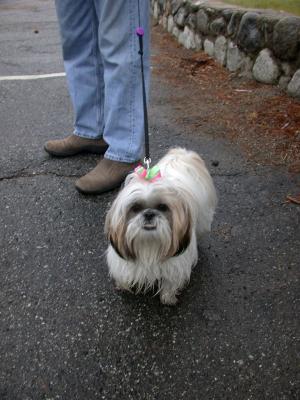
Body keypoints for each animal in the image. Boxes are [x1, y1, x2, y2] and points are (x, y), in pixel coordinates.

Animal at [104, 148, 217, 304]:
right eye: (135, 207)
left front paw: (168, 298)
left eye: (162, 207)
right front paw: (123, 285)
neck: (149, 246)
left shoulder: (175, 265)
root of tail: (182, 155)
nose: (149, 214)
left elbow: (170, 283)